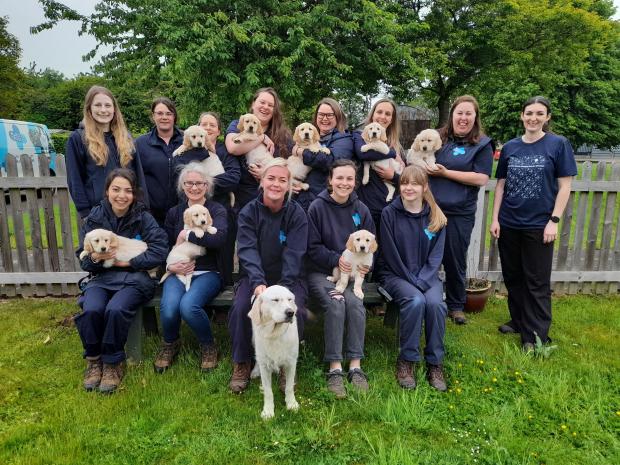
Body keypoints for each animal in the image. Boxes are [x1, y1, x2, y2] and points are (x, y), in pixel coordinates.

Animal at [249, 284, 302, 418]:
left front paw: (291, 404)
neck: (275, 334)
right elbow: (268, 391)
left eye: (290, 299)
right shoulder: (265, 365)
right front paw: (268, 411)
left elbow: (289, 387)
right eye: (275, 300)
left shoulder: (291, 362)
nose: (290, 312)